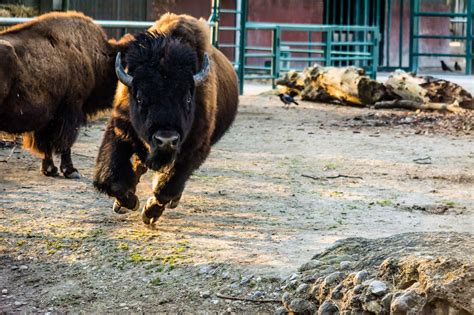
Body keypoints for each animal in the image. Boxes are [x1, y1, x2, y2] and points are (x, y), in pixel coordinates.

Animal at [0, 11, 122, 178]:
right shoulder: (71, 110)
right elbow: (65, 142)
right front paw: (70, 171)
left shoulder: (48, 117)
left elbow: (47, 144)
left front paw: (49, 169)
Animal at [92, 12, 239, 225]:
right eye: (139, 97)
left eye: (188, 98)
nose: (166, 140)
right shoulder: (120, 131)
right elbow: (111, 180)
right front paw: (128, 202)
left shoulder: (193, 149)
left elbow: (167, 187)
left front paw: (149, 212)